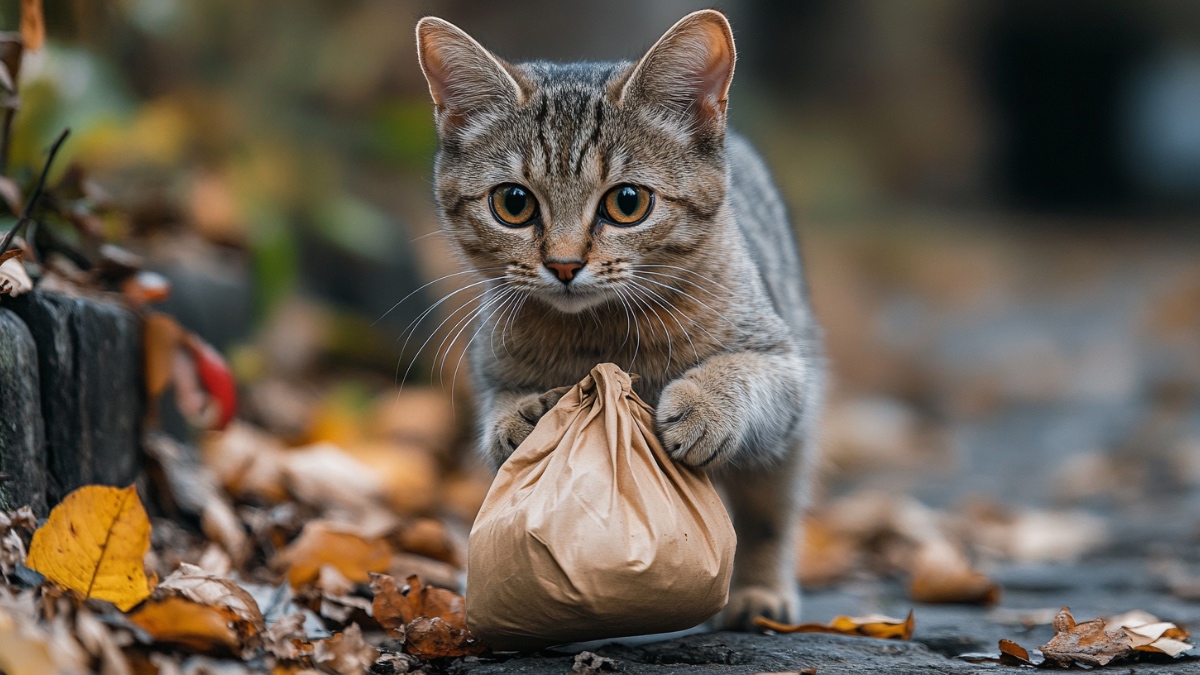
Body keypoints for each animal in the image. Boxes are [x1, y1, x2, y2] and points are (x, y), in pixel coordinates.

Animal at [415, 9, 825, 624]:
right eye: (513, 203)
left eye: (627, 202)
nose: (563, 264)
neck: (600, 334)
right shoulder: (491, 371)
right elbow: (495, 415)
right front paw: (519, 420)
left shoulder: (785, 365)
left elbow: (741, 372)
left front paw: (705, 404)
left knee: (770, 512)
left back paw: (759, 591)